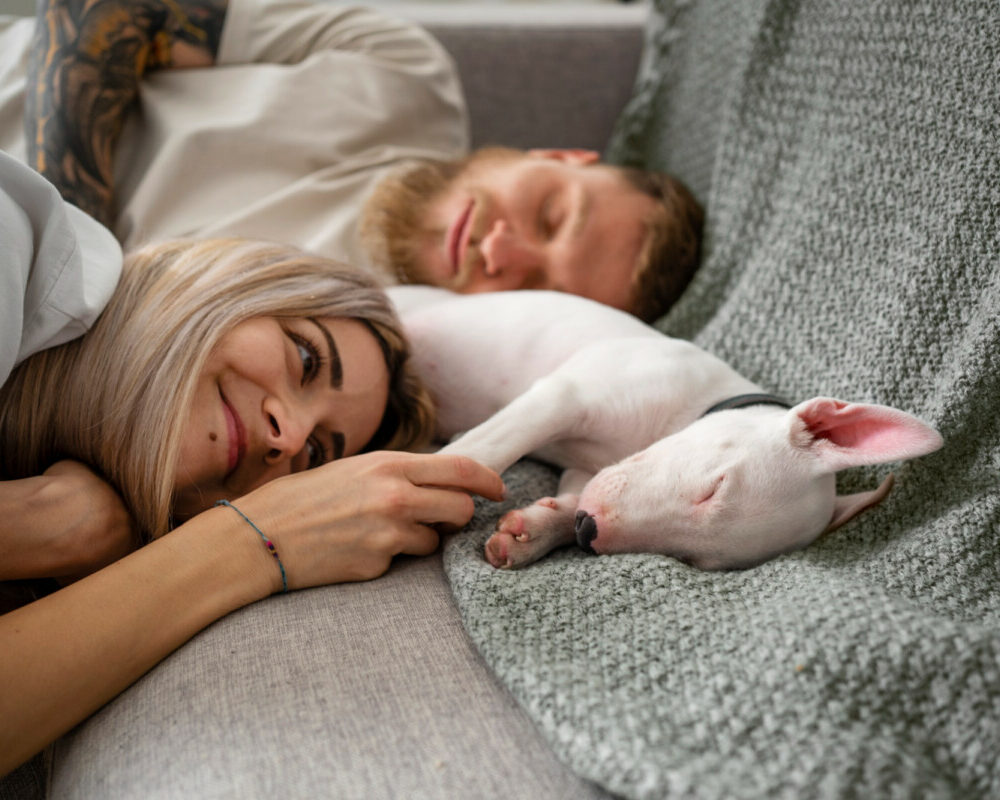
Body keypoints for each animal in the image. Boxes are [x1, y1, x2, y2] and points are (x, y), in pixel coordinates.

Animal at [386, 286, 940, 568]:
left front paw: (535, 530)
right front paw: (426, 487)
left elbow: (571, 494)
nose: (589, 532)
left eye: (689, 561)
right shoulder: (566, 394)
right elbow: (486, 448)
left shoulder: (583, 470)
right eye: (715, 488)